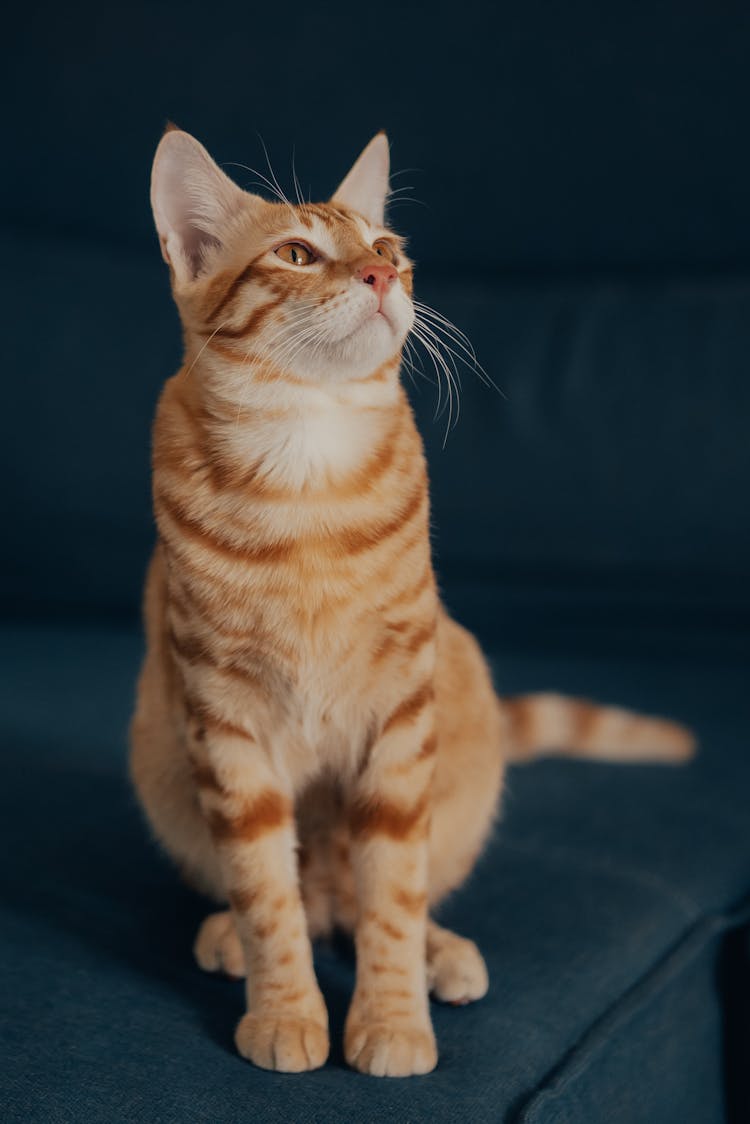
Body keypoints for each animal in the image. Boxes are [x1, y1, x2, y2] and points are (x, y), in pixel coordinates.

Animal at [130, 125, 697, 1079]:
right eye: (296, 253)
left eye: (388, 247)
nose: (381, 276)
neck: (305, 468)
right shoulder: (223, 716)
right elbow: (264, 890)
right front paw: (285, 1007)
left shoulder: (401, 710)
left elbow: (393, 889)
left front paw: (391, 1017)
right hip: (161, 747)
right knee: (297, 898)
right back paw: (234, 938)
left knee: (382, 900)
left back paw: (441, 952)